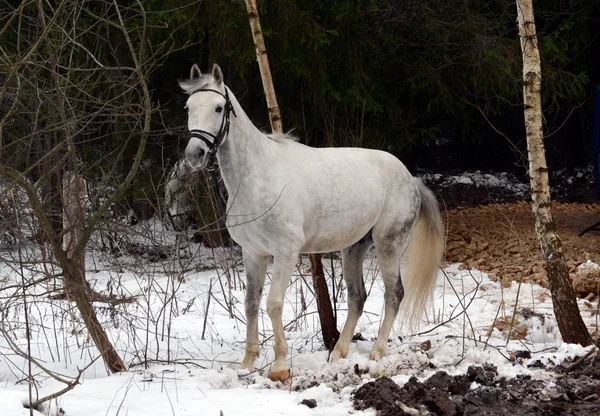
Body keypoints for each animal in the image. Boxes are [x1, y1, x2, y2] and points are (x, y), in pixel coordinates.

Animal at [180, 64, 442, 380]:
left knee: (394, 294)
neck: (258, 174)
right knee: (357, 297)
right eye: (188, 107)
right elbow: (251, 304)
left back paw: (377, 352)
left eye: (218, 108)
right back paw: (338, 354)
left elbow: (273, 303)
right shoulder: (253, 253)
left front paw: (280, 366)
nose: (194, 154)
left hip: (388, 244)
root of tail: (411, 179)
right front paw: (246, 364)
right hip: (354, 247)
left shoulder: (286, 251)